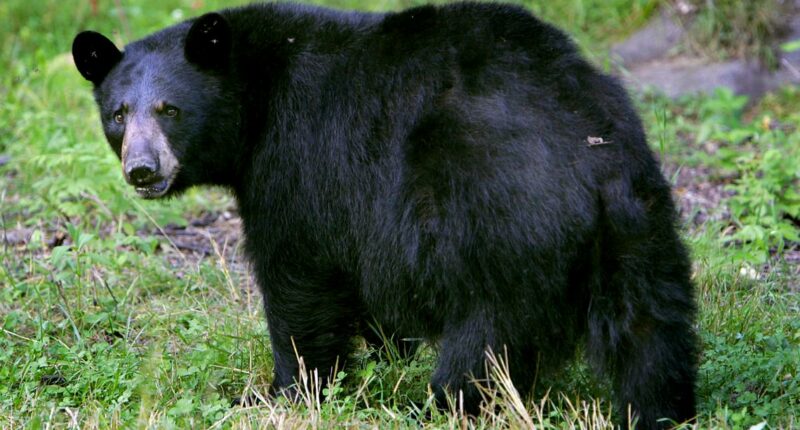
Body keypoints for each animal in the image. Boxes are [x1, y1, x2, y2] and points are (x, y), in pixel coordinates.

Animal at [72, 2, 698, 428]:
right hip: (638, 224)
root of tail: (585, 153)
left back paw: (440, 405)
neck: (255, 97)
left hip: (500, 224)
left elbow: (298, 280)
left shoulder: (299, 161)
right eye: (118, 114)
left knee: (486, 342)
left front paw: (286, 391)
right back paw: (662, 410)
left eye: (170, 109)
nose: (143, 170)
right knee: (651, 330)